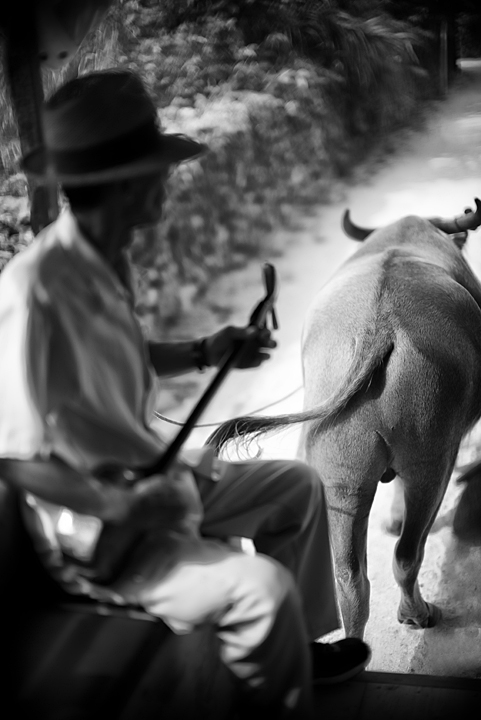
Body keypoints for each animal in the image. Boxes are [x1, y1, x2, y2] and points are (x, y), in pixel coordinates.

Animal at [210, 197, 481, 636]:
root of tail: (379, 329)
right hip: (431, 465)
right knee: (407, 554)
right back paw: (418, 612)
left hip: (341, 482)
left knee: (350, 580)